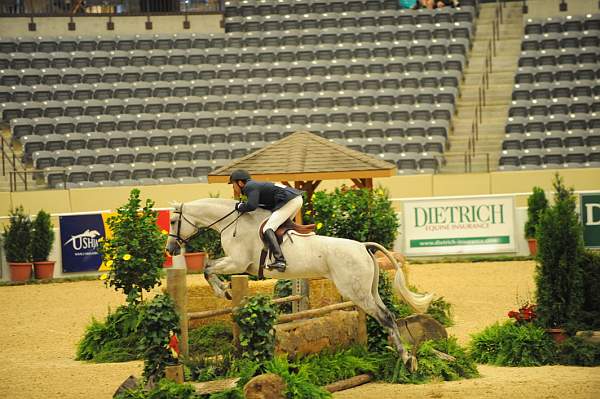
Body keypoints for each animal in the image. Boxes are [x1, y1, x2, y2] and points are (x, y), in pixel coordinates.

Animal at [166, 198, 434, 372]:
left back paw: (407, 360)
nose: (170, 249)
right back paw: (403, 356)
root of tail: (362, 246)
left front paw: (222, 291)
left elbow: (207, 268)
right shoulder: (238, 264)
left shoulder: (238, 262)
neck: (232, 223)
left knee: (385, 317)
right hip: (369, 290)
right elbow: (209, 265)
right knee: (388, 314)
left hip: (356, 292)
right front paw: (224, 290)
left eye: (172, 222)